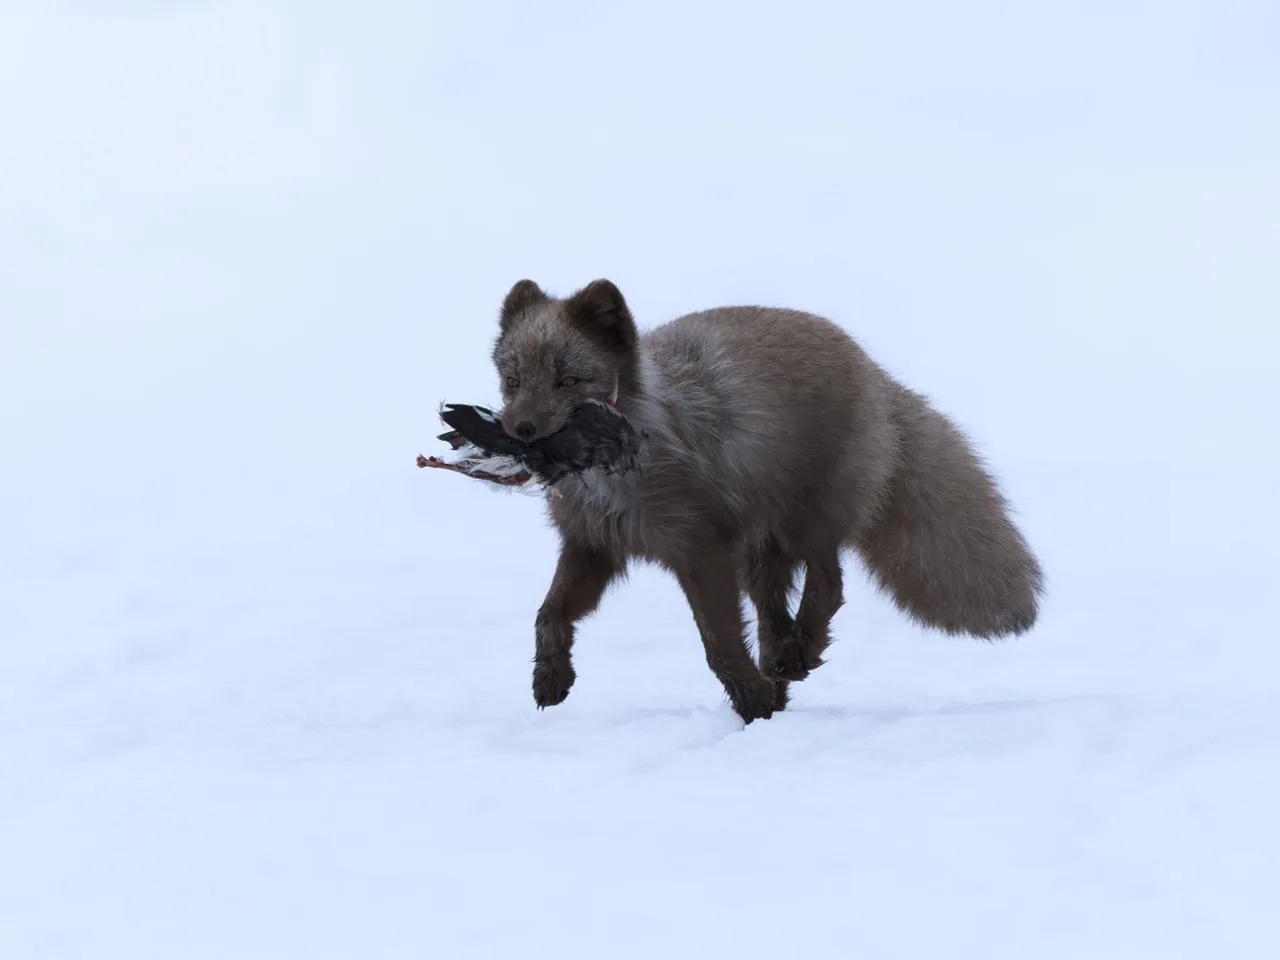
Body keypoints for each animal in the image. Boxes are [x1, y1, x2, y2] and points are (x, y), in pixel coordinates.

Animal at [490, 277, 1045, 723]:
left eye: (568, 380)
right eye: (512, 381)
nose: (518, 429)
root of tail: (874, 372)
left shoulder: (699, 550)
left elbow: (719, 644)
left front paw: (751, 704)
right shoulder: (593, 545)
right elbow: (549, 614)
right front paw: (550, 680)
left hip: (804, 523)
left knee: (829, 587)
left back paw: (793, 661)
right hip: (760, 552)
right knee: (775, 616)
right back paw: (783, 668)